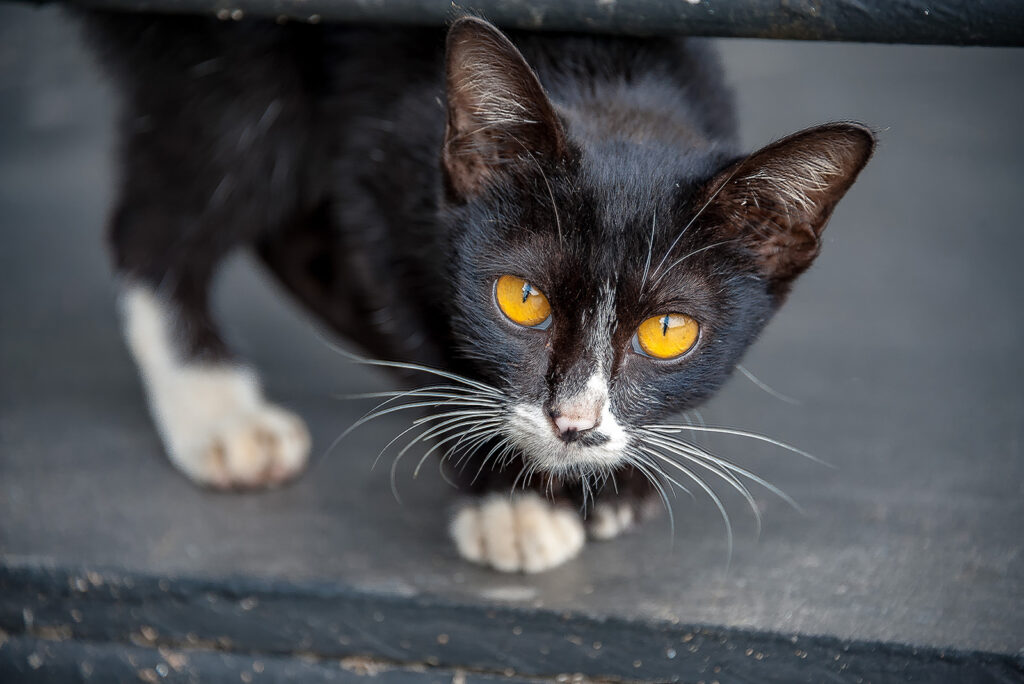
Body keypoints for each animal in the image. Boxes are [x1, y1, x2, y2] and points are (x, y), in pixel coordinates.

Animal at [83, 13, 876, 573]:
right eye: (521, 299)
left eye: (668, 332)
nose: (574, 424)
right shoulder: (382, 150)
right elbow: (406, 301)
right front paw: (513, 498)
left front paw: (602, 485)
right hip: (233, 55)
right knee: (178, 199)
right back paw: (215, 410)